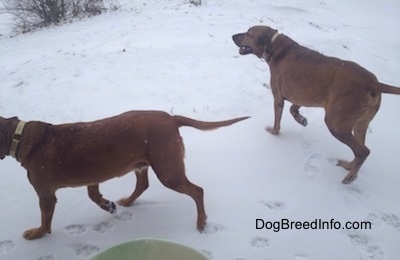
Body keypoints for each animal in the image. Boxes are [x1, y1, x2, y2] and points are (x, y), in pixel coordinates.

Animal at [0, 110, 248, 240]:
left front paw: (38, 233)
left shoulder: (45, 194)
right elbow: (93, 195)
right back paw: (127, 202)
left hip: (169, 172)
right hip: (142, 165)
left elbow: (45, 219)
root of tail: (171, 117)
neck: (20, 137)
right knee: (143, 185)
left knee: (197, 190)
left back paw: (201, 221)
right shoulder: (93, 177)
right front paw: (108, 205)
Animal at [231, 25, 400, 184]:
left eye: (248, 34)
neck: (274, 46)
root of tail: (372, 83)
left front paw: (273, 132)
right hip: (360, 125)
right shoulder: (301, 96)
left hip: (336, 124)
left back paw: (350, 177)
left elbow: (278, 120)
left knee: (363, 151)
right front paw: (301, 119)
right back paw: (349, 166)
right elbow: (293, 109)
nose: (232, 36)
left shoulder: (278, 97)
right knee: (360, 150)